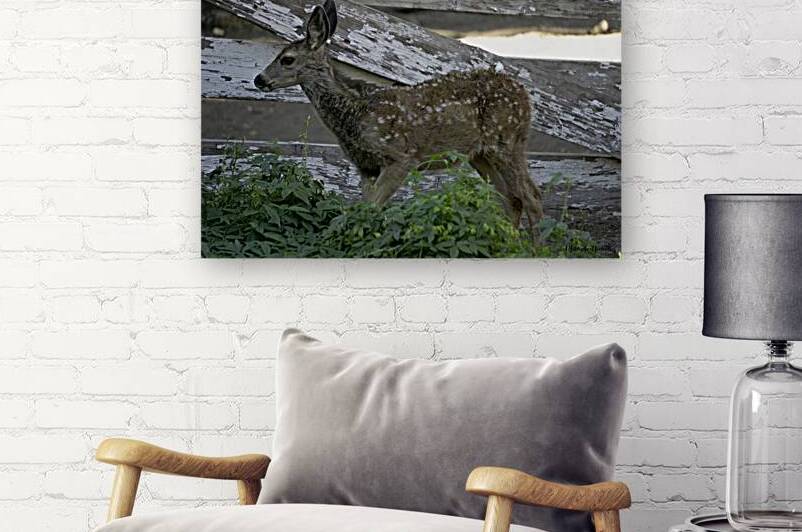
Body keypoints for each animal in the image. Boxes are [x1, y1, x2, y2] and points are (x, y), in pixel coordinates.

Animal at [253, 0, 543, 233]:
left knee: (533, 197)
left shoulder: (401, 156)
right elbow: (362, 211)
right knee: (512, 198)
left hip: (507, 142)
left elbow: (371, 209)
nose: (259, 79)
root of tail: (524, 94)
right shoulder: (365, 166)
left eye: (287, 59)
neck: (355, 112)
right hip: (480, 154)